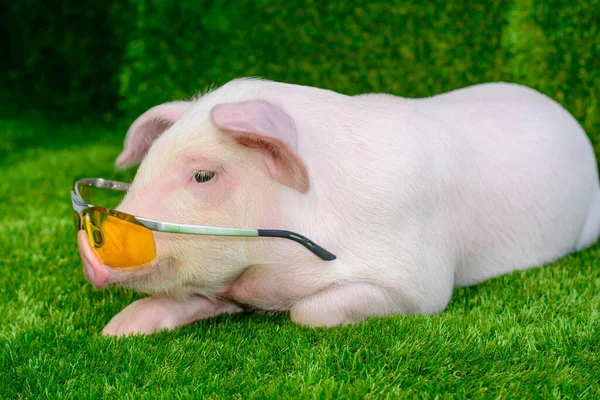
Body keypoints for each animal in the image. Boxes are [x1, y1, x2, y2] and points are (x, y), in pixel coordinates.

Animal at [76, 77, 600, 334]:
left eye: (203, 175)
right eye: (146, 165)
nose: (89, 248)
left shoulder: (421, 281)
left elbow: (309, 314)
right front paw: (117, 331)